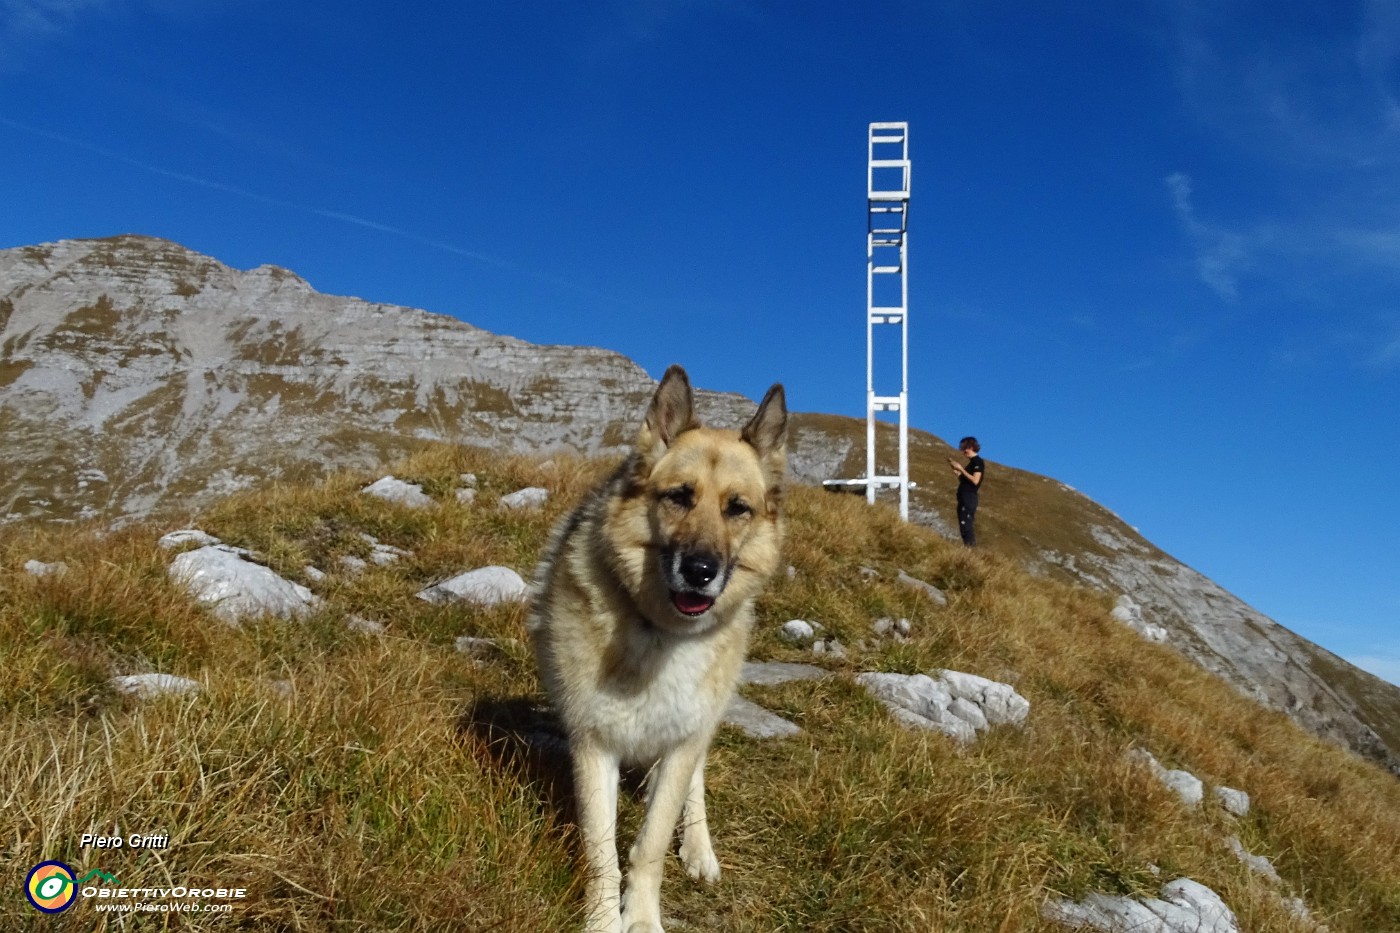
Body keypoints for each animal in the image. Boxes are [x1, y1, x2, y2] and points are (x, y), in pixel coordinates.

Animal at [529, 364, 789, 930]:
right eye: (679, 496)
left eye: (737, 508)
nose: (700, 572)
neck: (661, 632)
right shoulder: (593, 746)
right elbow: (601, 850)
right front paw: (603, 920)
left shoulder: (681, 746)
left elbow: (649, 844)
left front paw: (643, 917)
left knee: (695, 790)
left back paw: (698, 849)